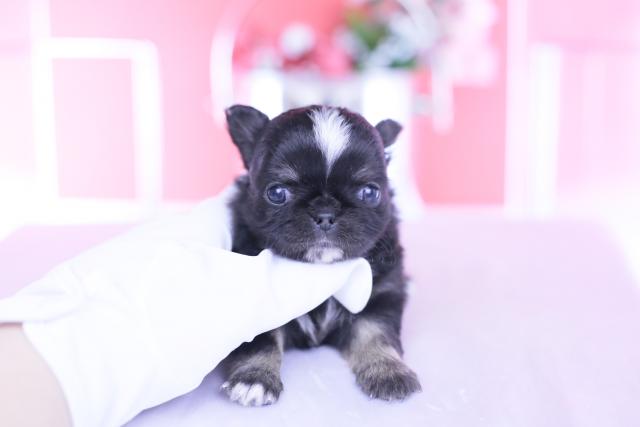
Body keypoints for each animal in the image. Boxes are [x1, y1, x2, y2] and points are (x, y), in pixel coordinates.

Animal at [220, 104, 421, 406]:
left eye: (369, 193)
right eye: (277, 193)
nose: (325, 213)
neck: (320, 272)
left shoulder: (381, 296)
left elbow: (375, 333)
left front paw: (388, 371)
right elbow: (261, 340)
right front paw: (255, 378)